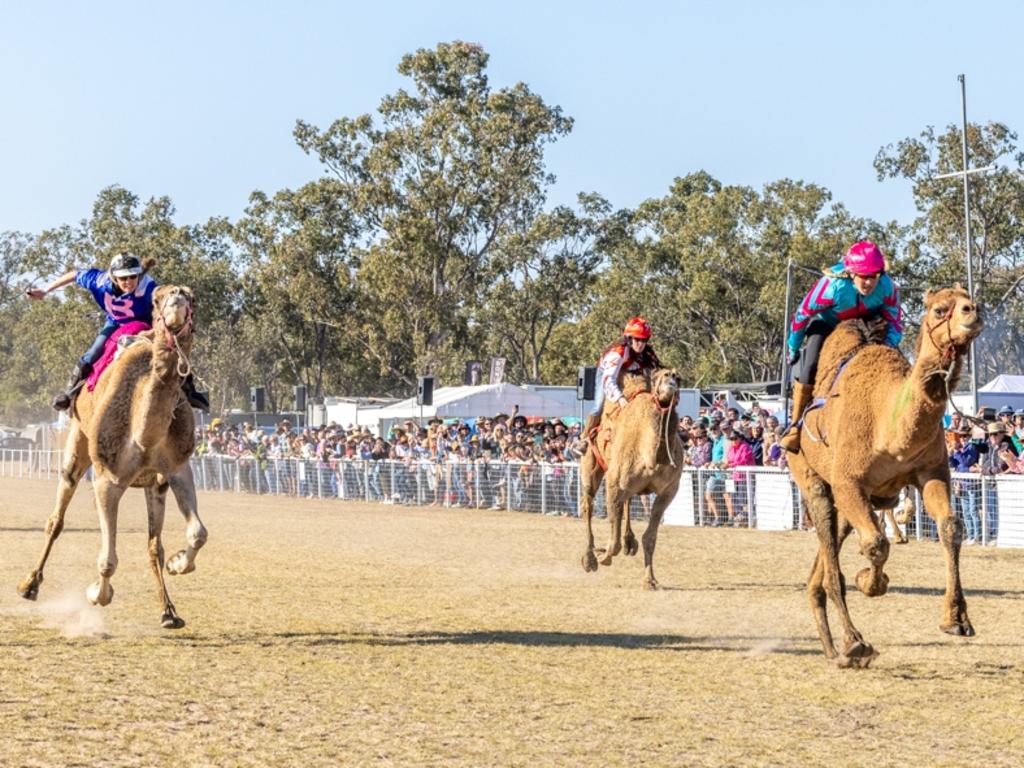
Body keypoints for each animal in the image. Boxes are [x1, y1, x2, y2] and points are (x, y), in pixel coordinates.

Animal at [18, 286, 206, 626]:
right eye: (157, 299)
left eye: (192, 297)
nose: (177, 295)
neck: (144, 435)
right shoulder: (108, 480)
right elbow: (107, 559)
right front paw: (97, 594)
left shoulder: (178, 469)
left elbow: (197, 533)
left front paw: (177, 563)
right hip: (78, 440)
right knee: (57, 518)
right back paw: (30, 585)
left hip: (153, 484)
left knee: (153, 545)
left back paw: (168, 611)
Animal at [581, 366, 684, 589]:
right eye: (658, 376)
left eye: (679, 377)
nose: (671, 377)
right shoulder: (614, 484)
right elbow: (614, 540)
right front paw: (602, 556)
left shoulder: (668, 491)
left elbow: (650, 537)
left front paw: (650, 580)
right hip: (590, 463)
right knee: (587, 504)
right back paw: (589, 559)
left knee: (627, 502)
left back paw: (629, 542)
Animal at [786, 286, 978, 667]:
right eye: (939, 309)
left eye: (969, 300)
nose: (972, 312)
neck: (888, 424)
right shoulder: (848, 481)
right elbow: (876, 544)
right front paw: (869, 582)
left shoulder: (931, 473)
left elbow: (950, 527)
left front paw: (956, 620)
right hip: (814, 479)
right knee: (833, 555)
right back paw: (853, 643)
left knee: (829, 552)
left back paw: (834, 649)